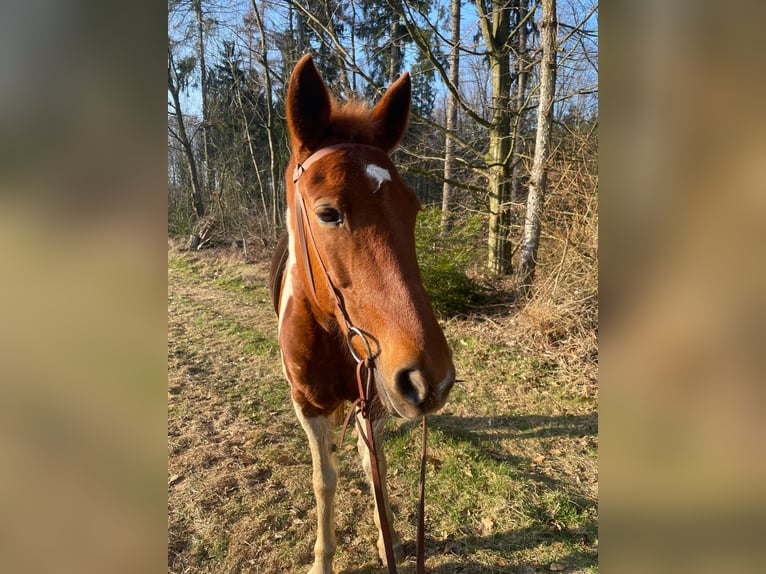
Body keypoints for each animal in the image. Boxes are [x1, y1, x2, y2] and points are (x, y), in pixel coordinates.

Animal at [269, 54, 456, 574]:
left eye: (413, 209)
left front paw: (385, 539)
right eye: (328, 213)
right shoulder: (307, 405)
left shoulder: (371, 399)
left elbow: (376, 468)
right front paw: (322, 559)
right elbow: (324, 479)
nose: (431, 378)